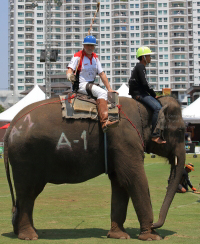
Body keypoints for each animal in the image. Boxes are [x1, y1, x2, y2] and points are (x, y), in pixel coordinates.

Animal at [3, 95, 185, 240]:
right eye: (182, 131)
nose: (155, 224)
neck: (145, 106)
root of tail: (11, 127)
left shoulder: (119, 145)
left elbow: (119, 182)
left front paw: (119, 236)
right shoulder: (126, 140)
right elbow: (133, 179)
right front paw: (153, 237)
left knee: (25, 195)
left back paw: (23, 231)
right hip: (26, 156)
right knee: (28, 193)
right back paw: (29, 236)